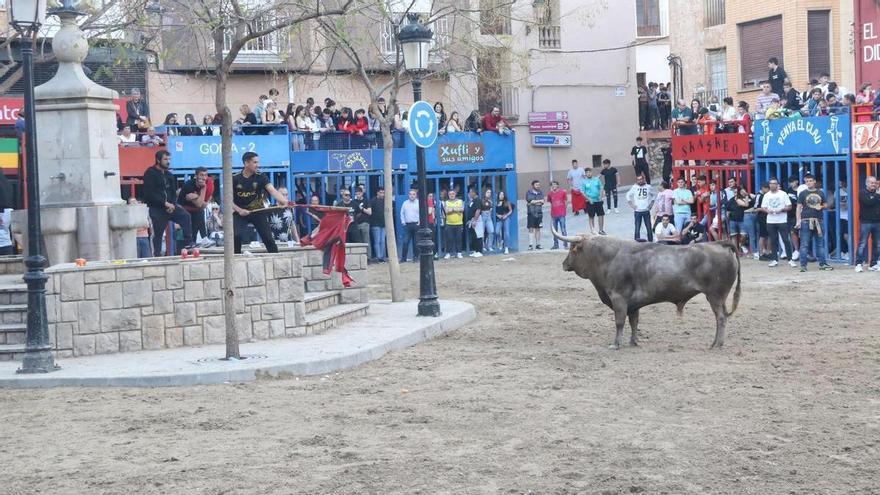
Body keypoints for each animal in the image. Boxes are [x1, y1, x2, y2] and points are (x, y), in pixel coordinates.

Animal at [552, 231, 740, 350]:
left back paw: (717, 344)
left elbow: (619, 322)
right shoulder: (633, 304)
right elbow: (634, 322)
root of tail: (720, 243)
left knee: (721, 318)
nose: (563, 264)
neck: (609, 257)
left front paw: (615, 344)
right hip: (720, 298)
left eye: (572, 249)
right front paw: (634, 342)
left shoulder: (618, 298)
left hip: (715, 296)